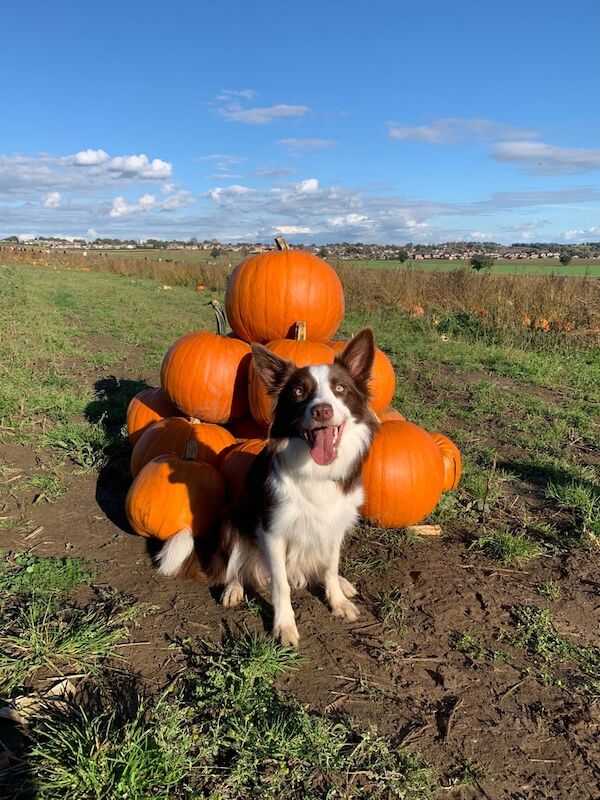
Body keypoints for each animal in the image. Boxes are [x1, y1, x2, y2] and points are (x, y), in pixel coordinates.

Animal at [157, 328, 378, 648]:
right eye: (299, 392)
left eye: (340, 389)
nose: (322, 411)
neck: (315, 470)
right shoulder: (272, 530)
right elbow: (281, 584)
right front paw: (284, 625)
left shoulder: (335, 524)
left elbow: (331, 566)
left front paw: (337, 600)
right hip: (232, 519)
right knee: (234, 568)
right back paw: (233, 588)